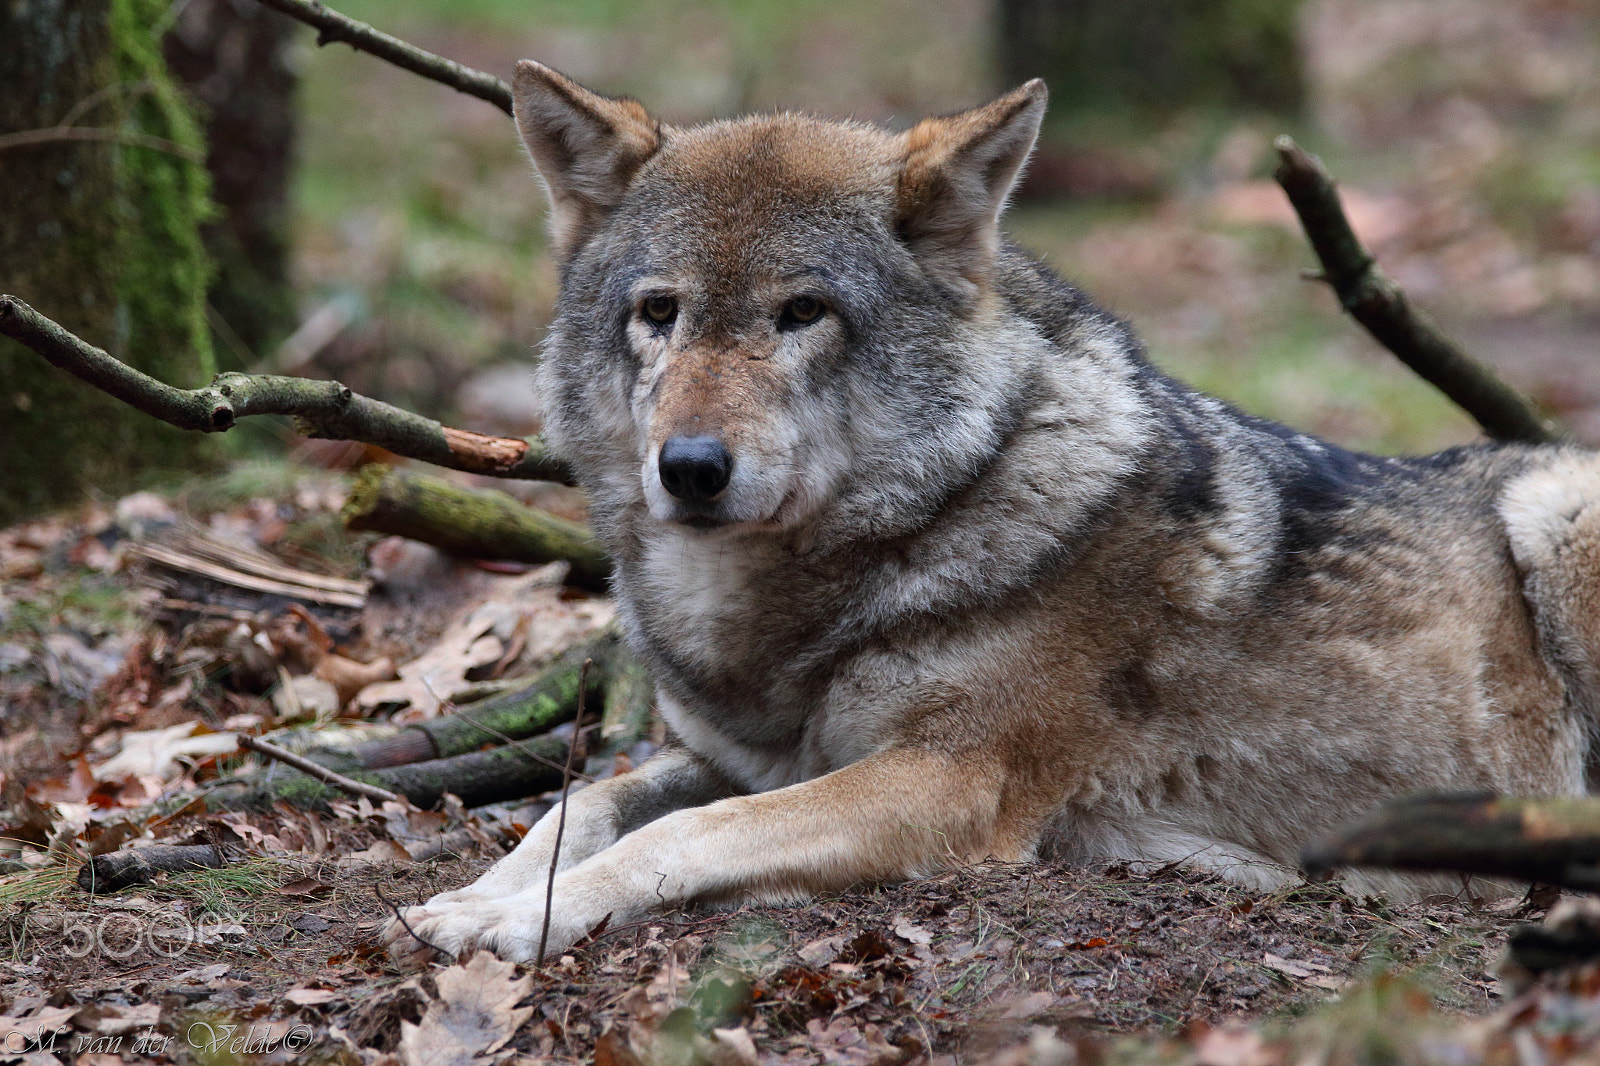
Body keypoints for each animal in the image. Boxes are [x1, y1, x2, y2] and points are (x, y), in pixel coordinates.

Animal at [384, 61, 1600, 965]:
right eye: (658, 313)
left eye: (801, 313)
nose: (688, 468)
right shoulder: (745, 759)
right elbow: (580, 805)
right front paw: (479, 895)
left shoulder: (946, 781)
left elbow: (686, 831)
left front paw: (517, 920)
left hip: (1554, 510)